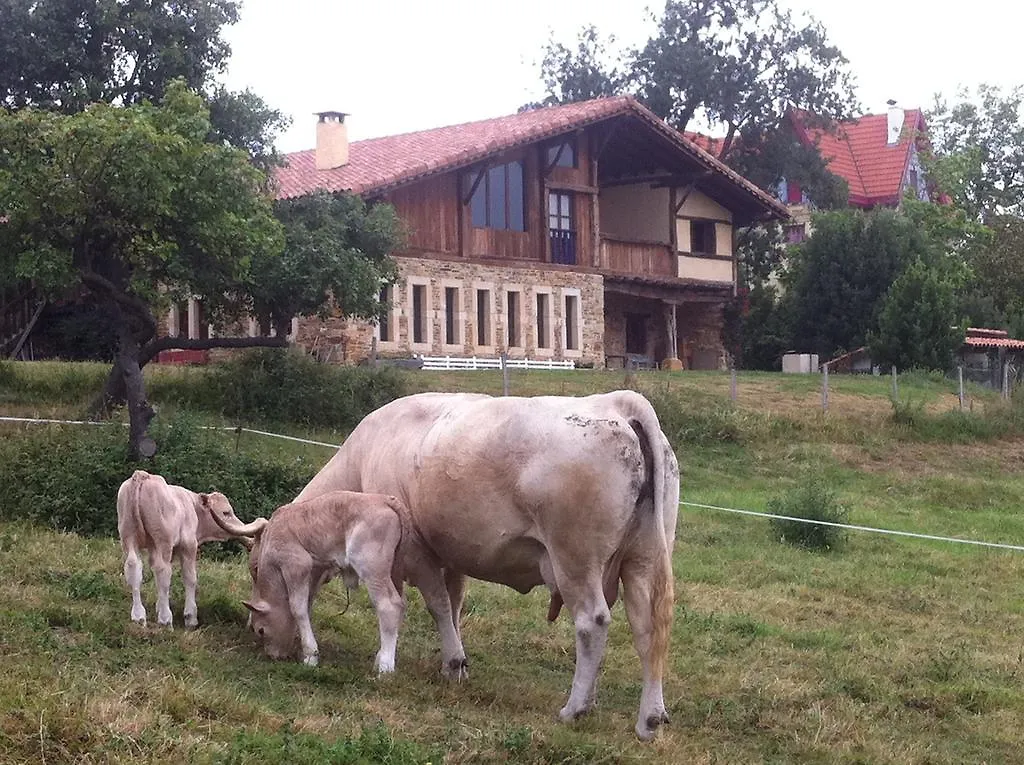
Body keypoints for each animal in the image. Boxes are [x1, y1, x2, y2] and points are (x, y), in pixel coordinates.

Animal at [116, 473, 268, 626]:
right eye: (226, 513)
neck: (192, 507)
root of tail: (142, 475)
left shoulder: (153, 547)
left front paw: (159, 607)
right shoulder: (188, 544)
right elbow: (190, 578)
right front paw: (190, 617)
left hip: (129, 536)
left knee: (133, 567)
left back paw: (139, 616)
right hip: (163, 541)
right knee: (162, 570)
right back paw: (165, 619)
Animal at [286, 391, 679, 737]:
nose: (281, 650)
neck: (363, 457)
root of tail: (616, 402)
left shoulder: (416, 550)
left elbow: (437, 605)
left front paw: (450, 661)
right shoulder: (452, 554)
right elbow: (455, 603)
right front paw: (456, 664)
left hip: (575, 558)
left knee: (592, 623)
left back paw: (576, 708)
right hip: (642, 557)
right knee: (648, 628)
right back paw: (648, 718)